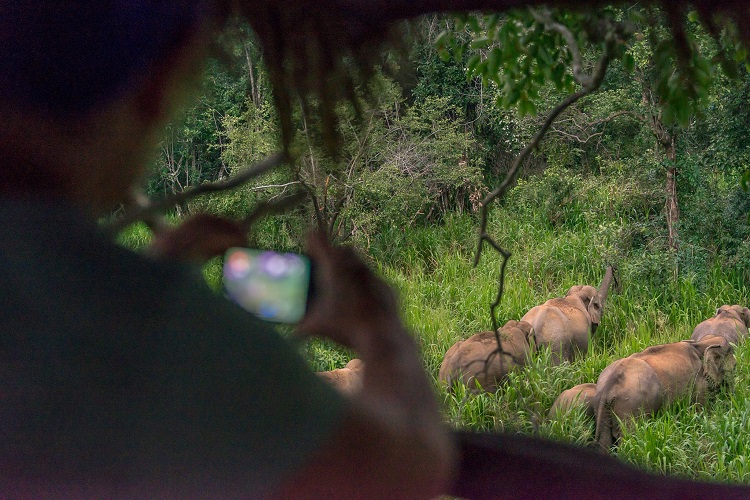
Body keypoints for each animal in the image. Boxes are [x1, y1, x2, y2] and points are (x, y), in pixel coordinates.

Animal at [592, 336, 736, 450]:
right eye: (734, 367)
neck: (701, 343)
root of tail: (609, 384)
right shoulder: (699, 383)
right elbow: (701, 411)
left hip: (604, 408)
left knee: (605, 440)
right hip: (631, 407)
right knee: (630, 438)